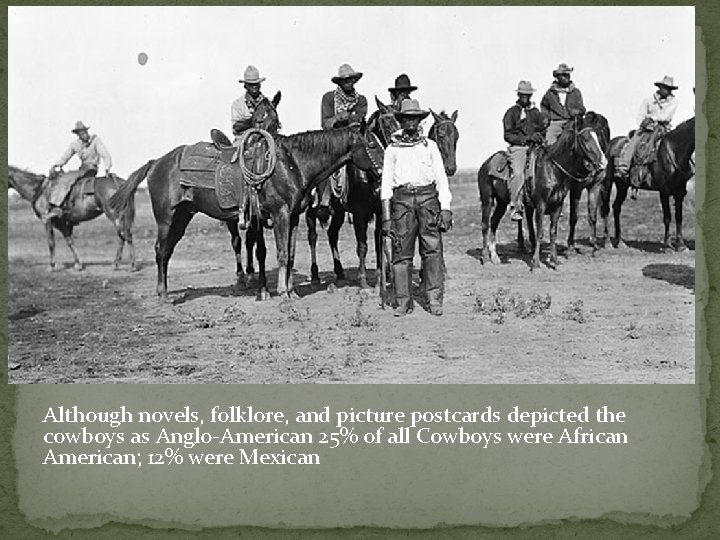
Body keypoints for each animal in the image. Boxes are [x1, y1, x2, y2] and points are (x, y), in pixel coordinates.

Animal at [7, 165, 136, 272]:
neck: (39, 190)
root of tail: (120, 182)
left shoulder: (47, 221)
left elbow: (51, 243)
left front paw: (52, 266)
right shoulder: (63, 224)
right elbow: (70, 242)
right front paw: (78, 264)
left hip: (114, 215)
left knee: (124, 235)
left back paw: (130, 266)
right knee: (123, 236)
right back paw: (117, 264)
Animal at [109, 119, 382, 302]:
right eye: (371, 143)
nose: (383, 171)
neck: (292, 164)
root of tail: (156, 162)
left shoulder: (293, 217)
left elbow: (291, 253)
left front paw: (291, 291)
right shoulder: (280, 214)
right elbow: (282, 253)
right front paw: (282, 293)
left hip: (182, 217)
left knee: (166, 252)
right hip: (166, 219)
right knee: (160, 251)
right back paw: (163, 295)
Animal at [306, 98, 458, 292]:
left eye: (456, 136)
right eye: (386, 122)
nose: (450, 168)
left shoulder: (380, 212)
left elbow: (380, 241)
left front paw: (380, 278)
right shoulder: (360, 213)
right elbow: (362, 246)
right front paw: (363, 282)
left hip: (339, 212)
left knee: (332, 234)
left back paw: (340, 275)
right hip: (317, 208)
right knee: (312, 233)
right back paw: (315, 276)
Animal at [600, 117, 696, 250]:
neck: (674, 152)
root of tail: (609, 145)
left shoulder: (679, 192)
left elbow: (679, 217)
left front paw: (681, 245)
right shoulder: (664, 192)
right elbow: (667, 217)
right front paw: (667, 245)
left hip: (622, 186)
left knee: (616, 207)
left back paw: (620, 242)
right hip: (608, 184)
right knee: (606, 209)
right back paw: (608, 242)